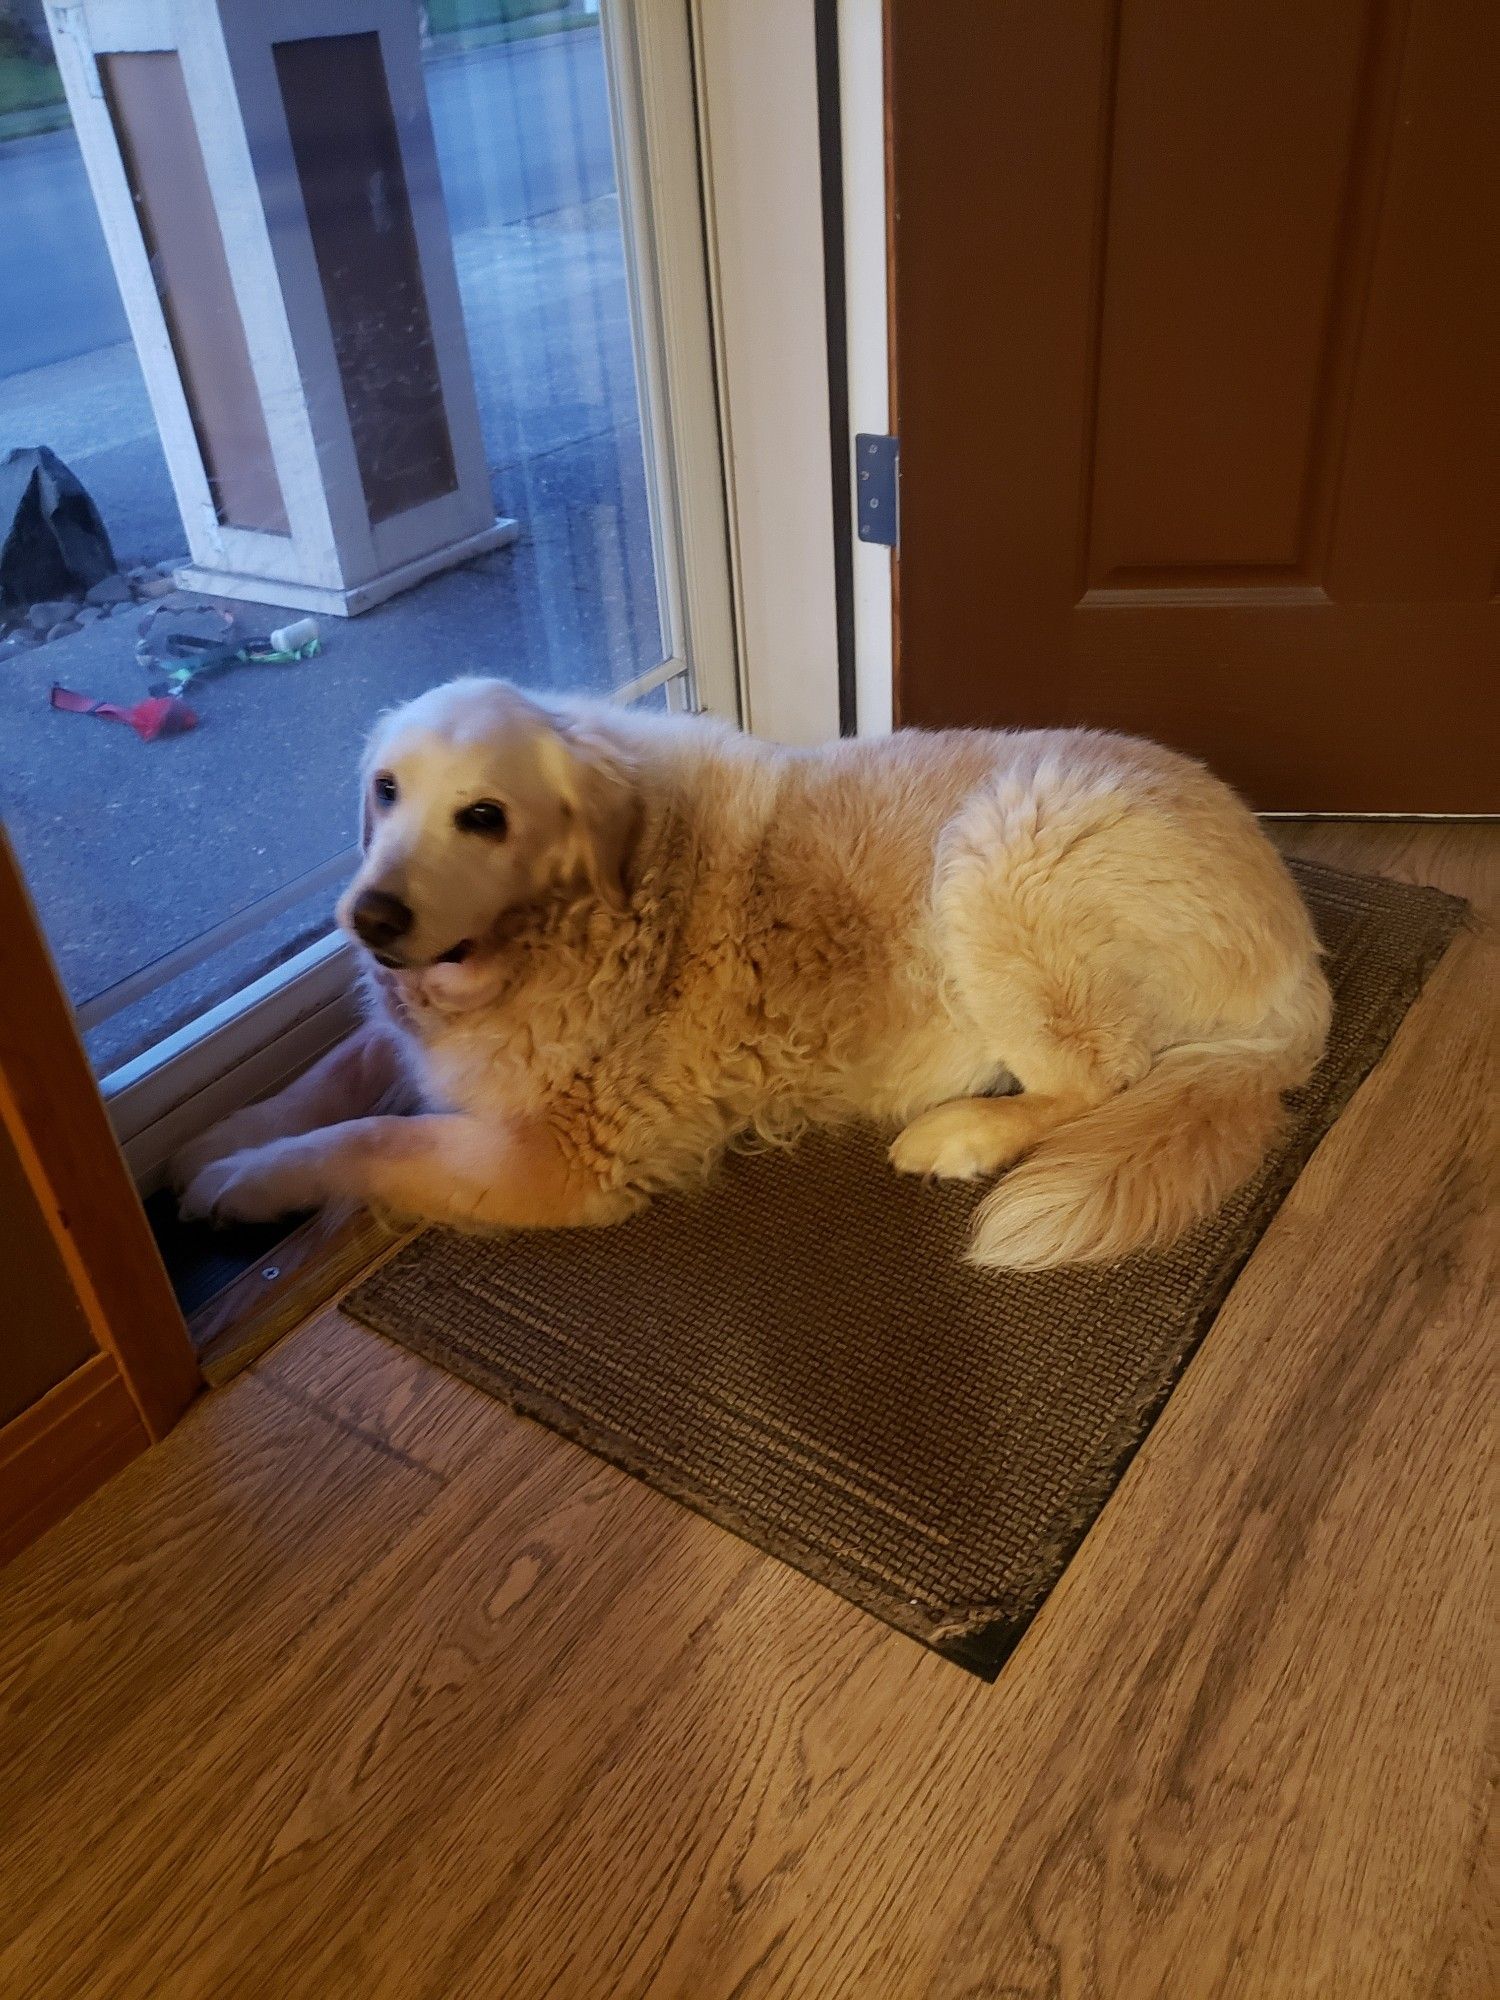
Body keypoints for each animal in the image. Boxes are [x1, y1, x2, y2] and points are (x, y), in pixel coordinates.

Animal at [170, 672, 1336, 1264]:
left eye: (485, 816)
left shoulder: (559, 1162)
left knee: (1100, 1080)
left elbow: (374, 1136)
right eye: (384, 791)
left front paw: (249, 1181)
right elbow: (345, 1065)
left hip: (1006, 839)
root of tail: (1303, 962)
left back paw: (962, 1132)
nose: (369, 917)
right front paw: (226, 1136)